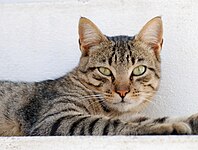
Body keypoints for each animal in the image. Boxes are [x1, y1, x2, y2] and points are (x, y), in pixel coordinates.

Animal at [0, 16, 198, 136]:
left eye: (138, 70)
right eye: (105, 71)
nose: (122, 92)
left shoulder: (129, 115)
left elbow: (153, 118)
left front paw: (190, 120)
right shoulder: (55, 118)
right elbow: (110, 124)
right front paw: (167, 127)